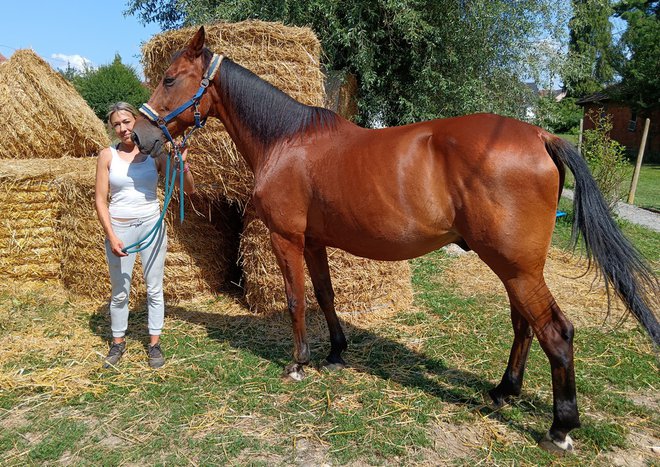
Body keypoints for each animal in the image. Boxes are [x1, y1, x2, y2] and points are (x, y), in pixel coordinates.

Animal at [131, 26, 656, 454]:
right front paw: (336, 353)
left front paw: (298, 363)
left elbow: (297, 299)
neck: (287, 140)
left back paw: (560, 428)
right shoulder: (315, 241)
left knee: (556, 332)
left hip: (516, 267)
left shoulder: (287, 239)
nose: (139, 135)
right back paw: (503, 392)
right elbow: (325, 295)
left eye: (170, 78)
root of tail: (541, 135)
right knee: (524, 326)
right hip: (516, 268)